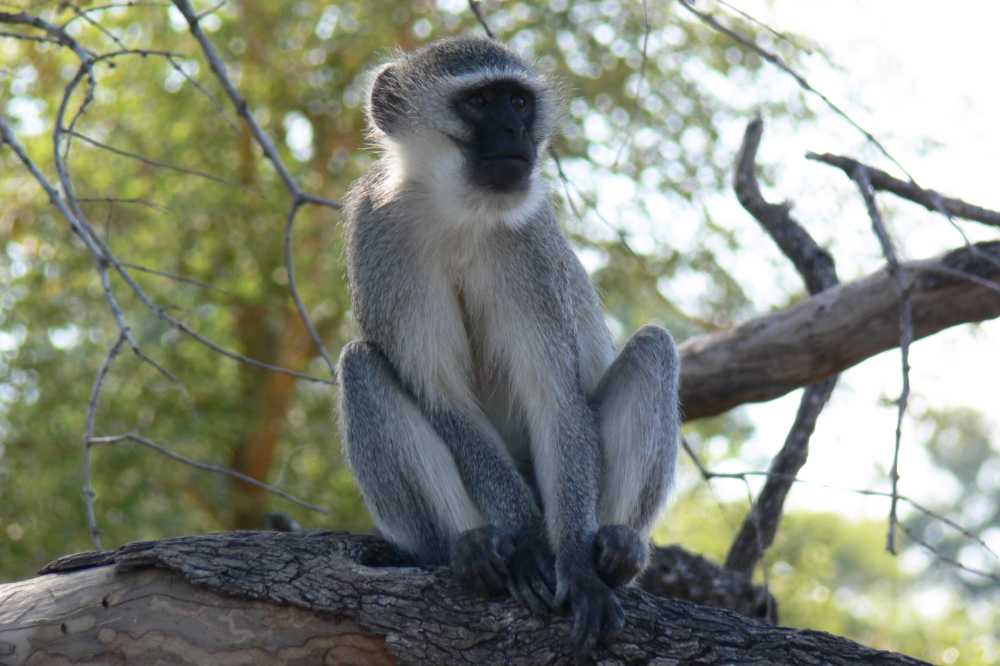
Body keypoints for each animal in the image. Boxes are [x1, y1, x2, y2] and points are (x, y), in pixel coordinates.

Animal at [336, 36, 679, 661]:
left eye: (518, 101)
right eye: (477, 102)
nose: (516, 133)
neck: (460, 212)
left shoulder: (531, 247)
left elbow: (557, 400)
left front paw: (577, 568)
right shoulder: (378, 232)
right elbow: (442, 397)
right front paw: (523, 544)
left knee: (654, 349)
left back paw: (618, 547)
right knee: (361, 366)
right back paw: (471, 547)